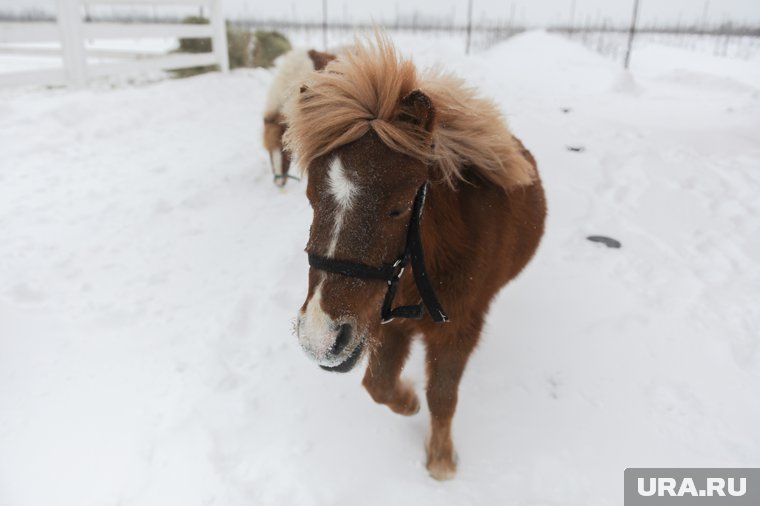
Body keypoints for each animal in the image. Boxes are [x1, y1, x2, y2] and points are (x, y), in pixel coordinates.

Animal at [284, 34, 548, 478]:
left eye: (398, 208)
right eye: (311, 199)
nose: (319, 339)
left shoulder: (459, 328)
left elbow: (441, 396)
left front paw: (440, 458)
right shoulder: (386, 322)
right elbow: (378, 385)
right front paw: (407, 400)